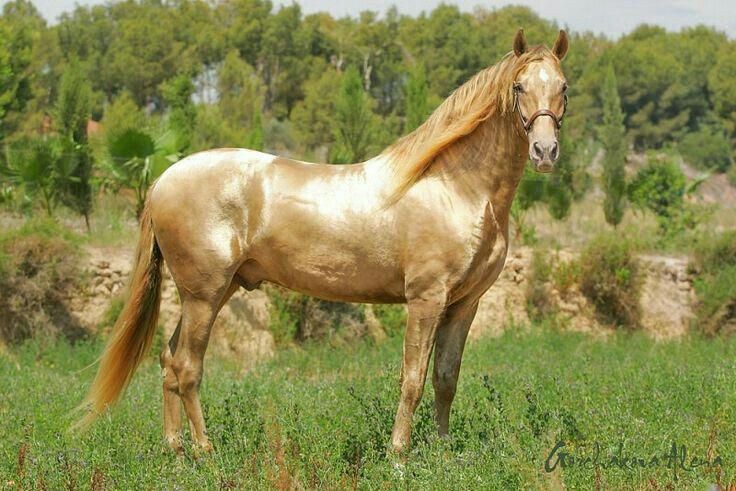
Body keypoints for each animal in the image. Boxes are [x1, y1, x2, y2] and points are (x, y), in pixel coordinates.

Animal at [75, 28, 568, 456]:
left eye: (563, 87)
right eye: (519, 86)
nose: (544, 152)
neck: (455, 187)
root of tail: (161, 182)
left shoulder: (465, 304)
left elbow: (446, 378)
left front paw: (443, 451)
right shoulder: (426, 299)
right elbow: (412, 378)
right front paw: (399, 454)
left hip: (214, 292)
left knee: (168, 360)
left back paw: (176, 448)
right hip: (203, 295)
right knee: (186, 367)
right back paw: (204, 450)